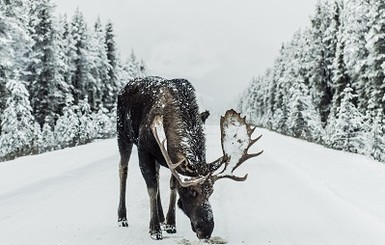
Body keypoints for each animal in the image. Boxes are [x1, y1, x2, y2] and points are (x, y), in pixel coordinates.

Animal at [117, 76, 260, 239]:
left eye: (211, 192)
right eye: (192, 192)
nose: (206, 230)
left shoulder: (171, 160)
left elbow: (172, 186)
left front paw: (170, 223)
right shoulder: (144, 150)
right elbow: (151, 188)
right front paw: (154, 229)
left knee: (157, 174)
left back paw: (161, 217)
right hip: (123, 134)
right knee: (123, 169)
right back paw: (122, 218)